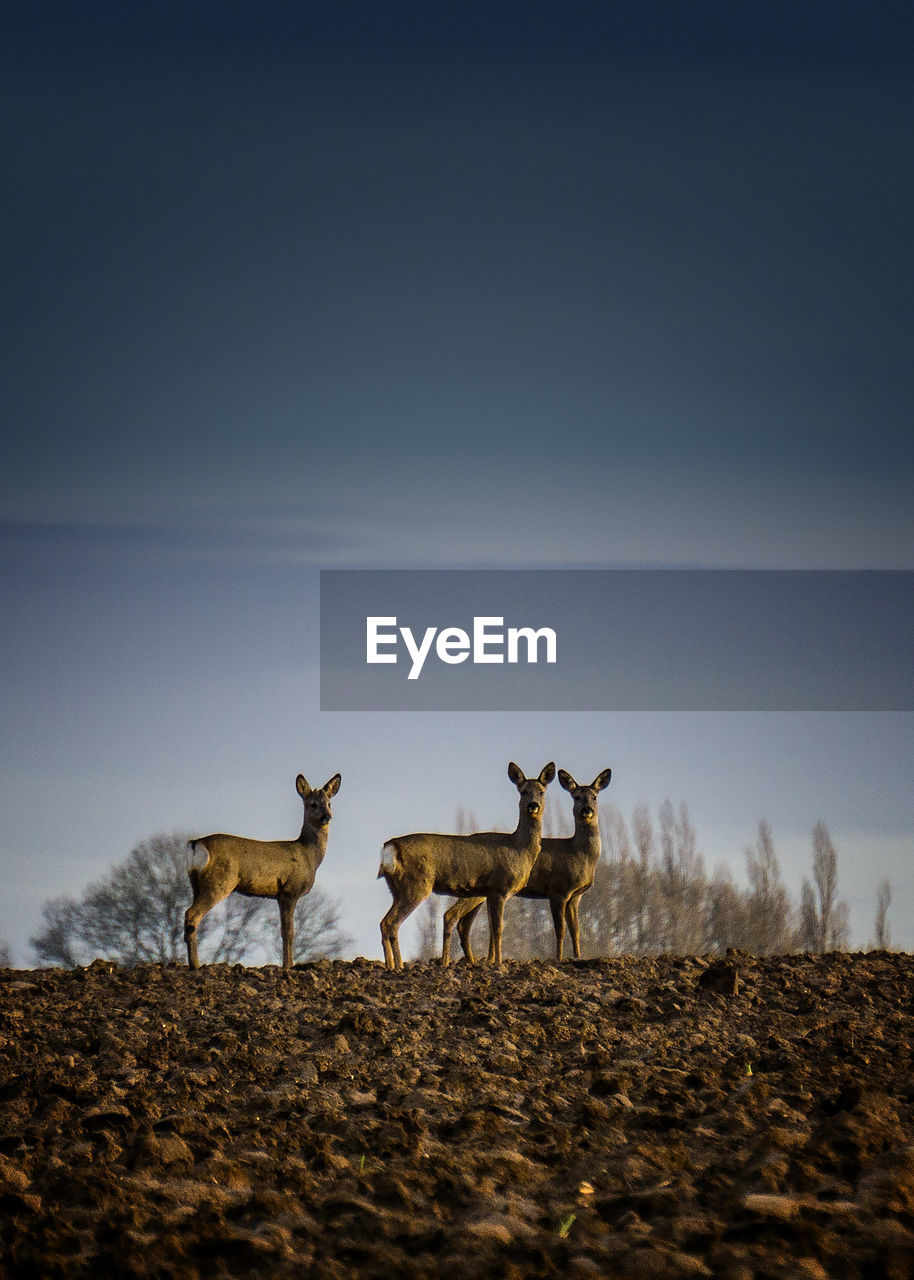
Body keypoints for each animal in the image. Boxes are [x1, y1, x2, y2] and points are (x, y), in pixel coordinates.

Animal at [183, 768, 340, 967]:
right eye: (313, 804)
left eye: (329, 803)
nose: (327, 816)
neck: (308, 855)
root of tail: (195, 843)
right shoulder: (290, 890)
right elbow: (288, 932)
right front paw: (288, 966)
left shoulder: (279, 895)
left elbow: (285, 931)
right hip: (219, 881)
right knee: (192, 914)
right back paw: (195, 965)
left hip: (195, 883)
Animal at [373, 757, 553, 967]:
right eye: (523, 791)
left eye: (541, 791)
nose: (533, 805)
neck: (519, 848)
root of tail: (390, 847)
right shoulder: (498, 888)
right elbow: (498, 929)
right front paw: (499, 965)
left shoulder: (488, 892)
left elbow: (492, 929)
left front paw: (491, 963)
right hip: (416, 884)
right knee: (392, 923)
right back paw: (399, 966)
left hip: (395, 888)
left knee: (384, 923)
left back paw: (391, 966)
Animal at [437, 762, 609, 962]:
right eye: (577, 797)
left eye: (595, 797)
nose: (587, 809)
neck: (578, 853)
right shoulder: (557, 889)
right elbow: (560, 929)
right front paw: (559, 959)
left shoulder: (576, 895)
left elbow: (576, 930)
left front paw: (578, 958)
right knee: (452, 916)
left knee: (464, 924)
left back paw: (474, 962)